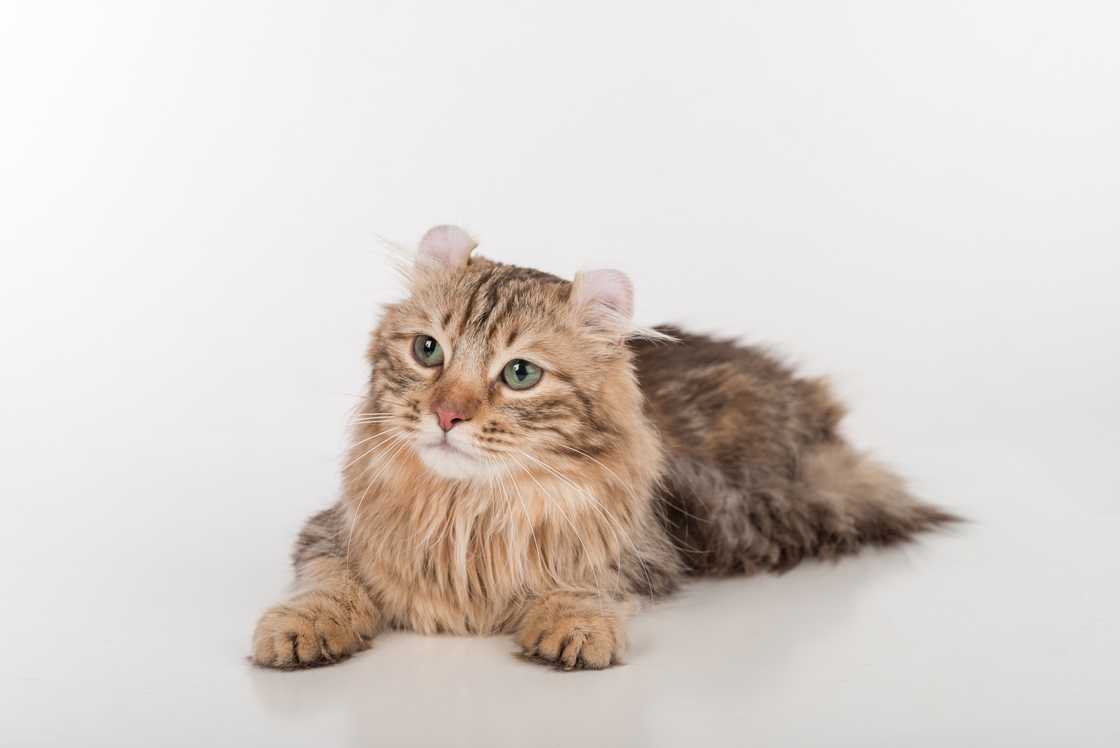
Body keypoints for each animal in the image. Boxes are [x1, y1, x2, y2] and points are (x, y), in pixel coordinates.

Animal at [249, 225, 958, 667]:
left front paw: (573, 626)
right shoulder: (330, 530)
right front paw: (300, 627)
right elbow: (327, 580)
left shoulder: (649, 549)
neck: (467, 510)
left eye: (520, 374)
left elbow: (585, 582)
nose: (446, 415)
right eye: (428, 351)